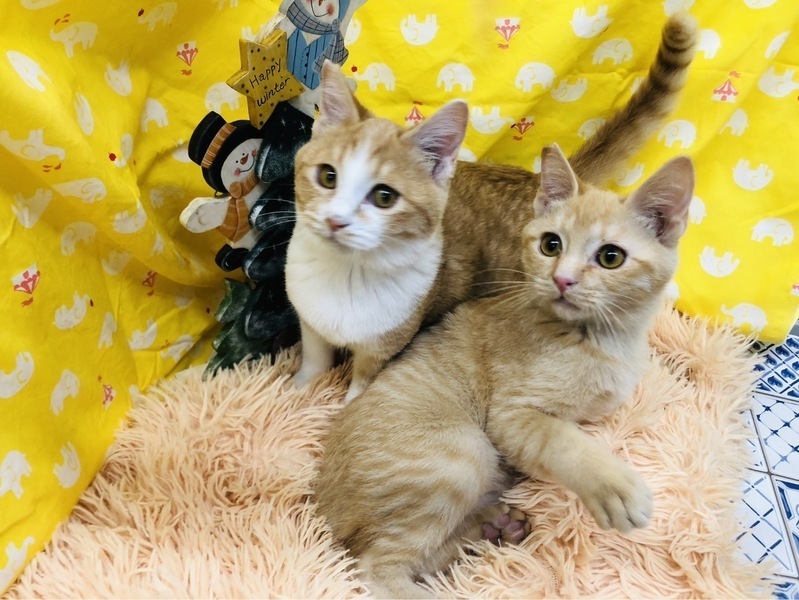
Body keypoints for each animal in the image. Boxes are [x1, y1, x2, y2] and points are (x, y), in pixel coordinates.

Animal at [287, 14, 699, 402]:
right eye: (327, 177)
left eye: (384, 197)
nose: (336, 221)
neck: (345, 274)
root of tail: (542, 180)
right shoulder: (309, 320)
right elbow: (314, 358)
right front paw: (298, 388)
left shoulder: (386, 345)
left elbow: (361, 386)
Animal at [314, 143, 695, 598]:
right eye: (551, 244)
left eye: (610, 257)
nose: (562, 279)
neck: (602, 340)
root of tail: (320, 505)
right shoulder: (514, 415)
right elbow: (567, 444)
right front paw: (614, 486)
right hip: (462, 457)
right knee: (374, 567)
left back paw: (495, 527)